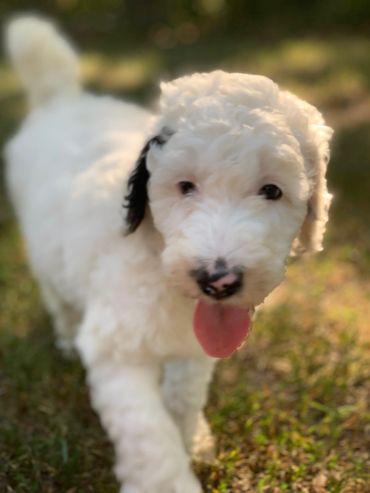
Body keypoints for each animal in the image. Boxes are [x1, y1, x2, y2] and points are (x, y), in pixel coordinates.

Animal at [3, 15, 332, 492]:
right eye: (185, 186)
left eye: (272, 190)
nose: (219, 280)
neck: (158, 261)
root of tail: (62, 98)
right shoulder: (115, 350)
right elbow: (149, 434)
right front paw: (169, 479)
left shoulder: (195, 347)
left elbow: (183, 395)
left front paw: (193, 440)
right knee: (57, 297)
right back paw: (64, 338)